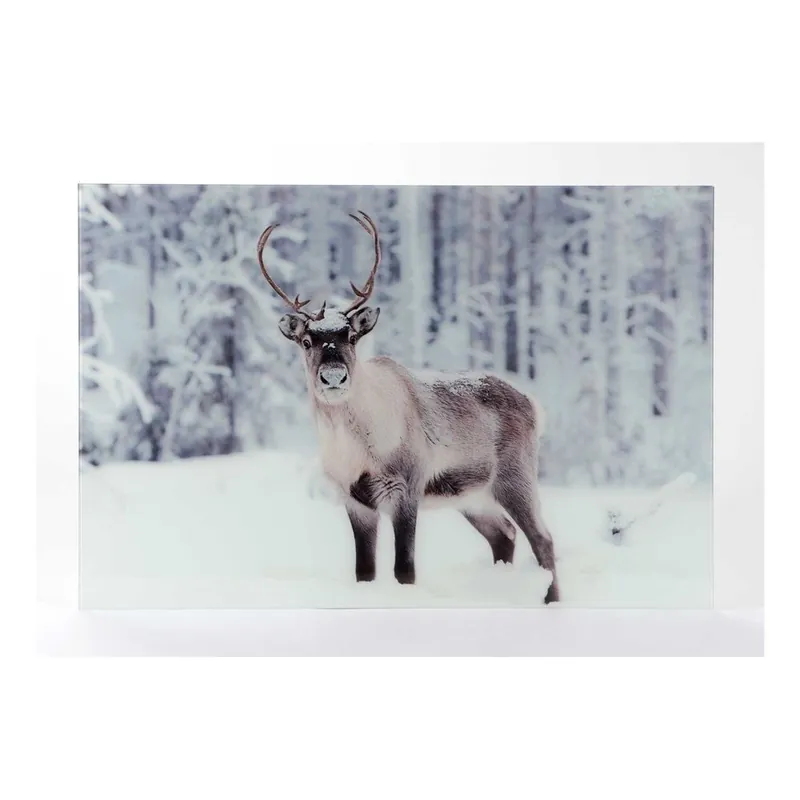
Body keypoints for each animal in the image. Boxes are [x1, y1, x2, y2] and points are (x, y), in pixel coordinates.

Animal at [257, 210, 560, 603]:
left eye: (351, 337)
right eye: (307, 341)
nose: (334, 377)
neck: (356, 447)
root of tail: (534, 405)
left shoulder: (406, 489)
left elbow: (405, 570)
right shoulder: (356, 500)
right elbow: (364, 572)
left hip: (516, 479)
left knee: (543, 540)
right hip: (473, 497)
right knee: (504, 535)